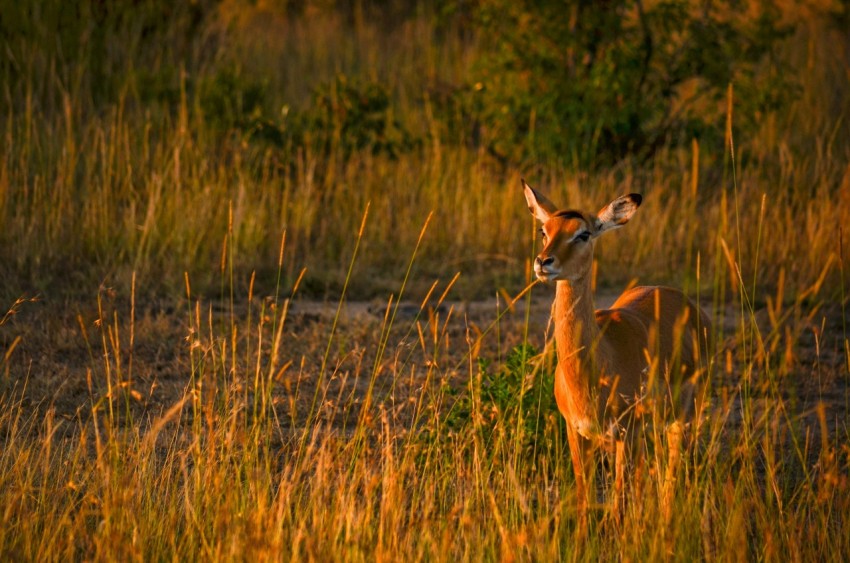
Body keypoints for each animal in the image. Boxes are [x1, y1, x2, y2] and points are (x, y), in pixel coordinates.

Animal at [522, 179, 711, 529]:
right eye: (544, 230)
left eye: (583, 234)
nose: (544, 262)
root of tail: (687, 302)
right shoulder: (577, 433)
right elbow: (585, 501)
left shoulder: (627, 434)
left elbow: (620, 506)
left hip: (684, 418)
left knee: (674, 476)